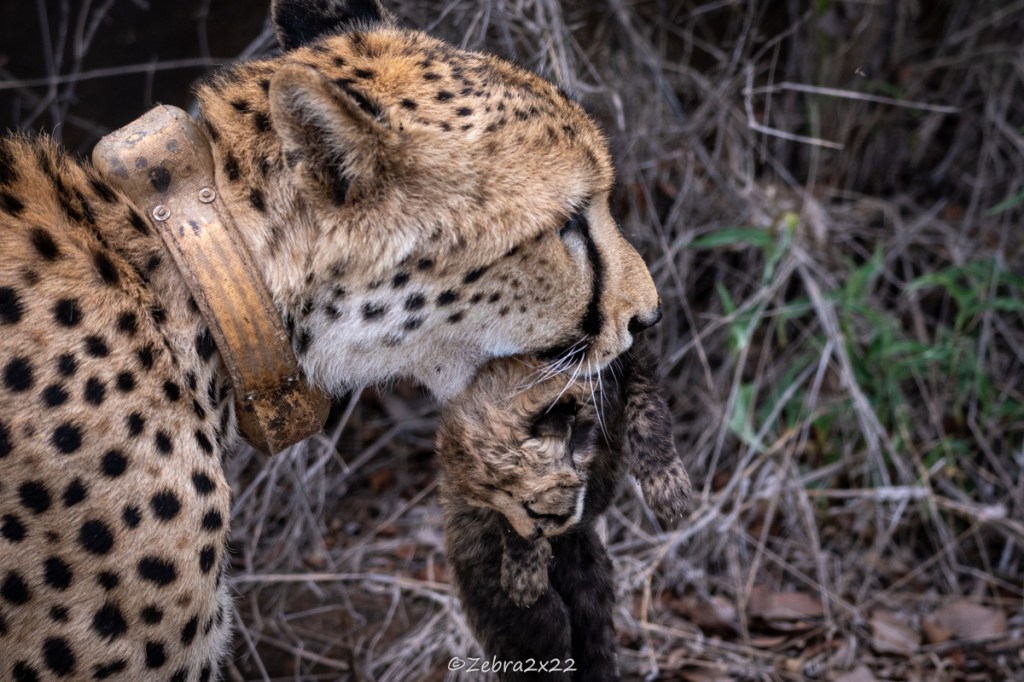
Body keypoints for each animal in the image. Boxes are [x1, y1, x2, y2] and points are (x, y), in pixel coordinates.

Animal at [437, 341, 692, 681]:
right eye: (494, 507)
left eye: (529, 505)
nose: (536, 534)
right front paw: (523, 571)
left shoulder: (633, 350)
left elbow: (646, 400)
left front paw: (665, 480)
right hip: (499, 592)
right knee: (547, 637)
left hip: (591, 584)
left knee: (594, 635)